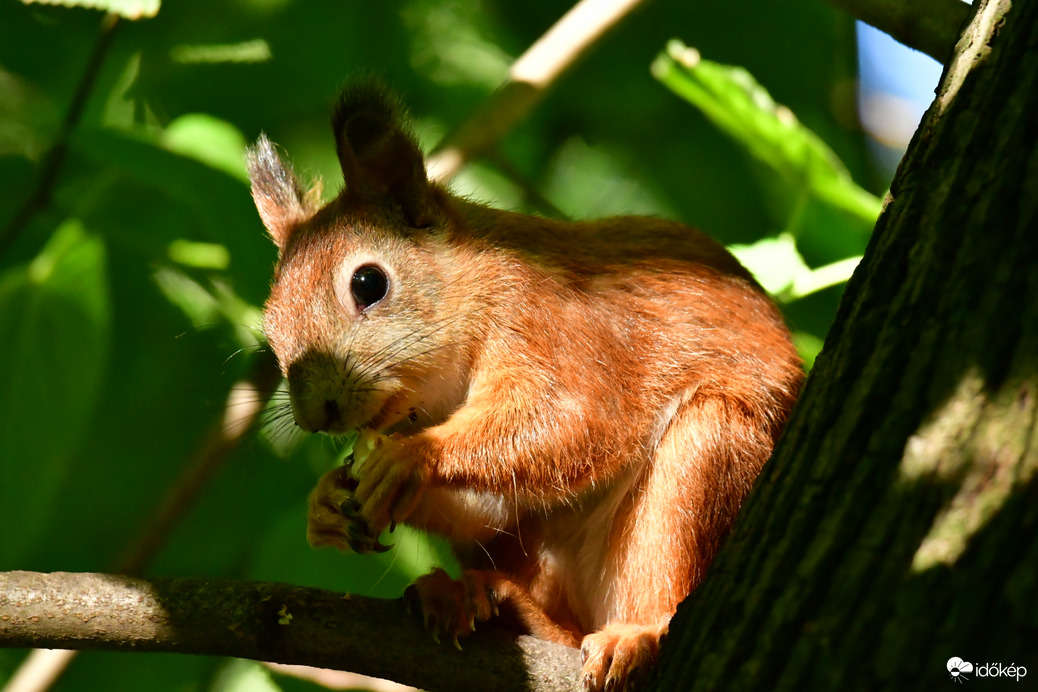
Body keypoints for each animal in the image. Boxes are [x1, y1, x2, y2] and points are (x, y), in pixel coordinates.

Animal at [249, 85, 801, 692]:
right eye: (270, 329)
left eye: (369, 283)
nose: (315, 413)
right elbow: (491, 506)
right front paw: (324, 502)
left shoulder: (552, 322)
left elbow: (576, 419)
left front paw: (411, 457)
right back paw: (482, 600)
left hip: (712, 455)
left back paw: (636, 634)